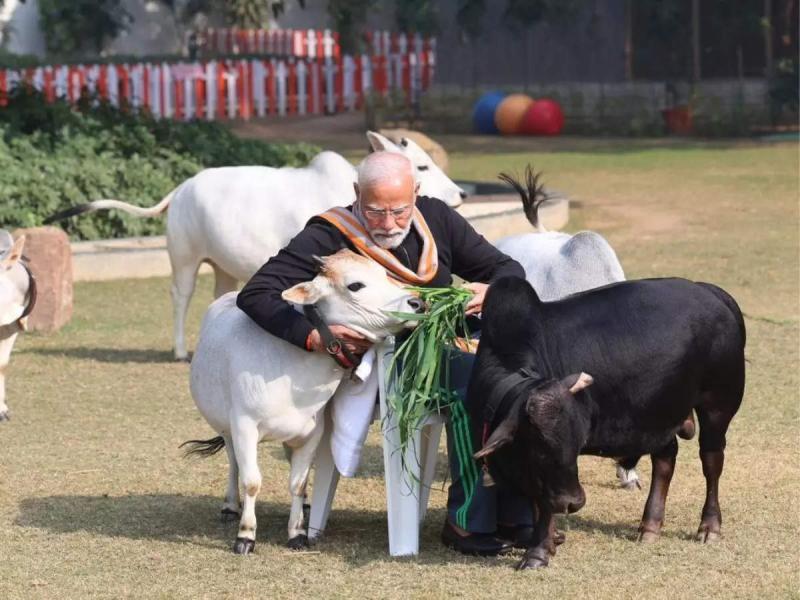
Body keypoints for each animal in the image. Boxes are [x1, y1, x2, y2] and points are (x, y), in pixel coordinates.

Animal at [43, 130, 466, 360]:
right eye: (421, 165)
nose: (461, 193)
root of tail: (181, 189)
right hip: (184, 258)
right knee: (180, 296)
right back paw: (180, 350)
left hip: (222, 268)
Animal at [184, 250, 422, 552]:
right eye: (355, 285)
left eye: (384, 274)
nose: (416, 302)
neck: (291, 372)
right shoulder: (244, 427)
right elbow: (251, 482)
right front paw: (246, 536)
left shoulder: (311, 433)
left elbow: (297, 483)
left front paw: (297, 532)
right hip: (226, 429)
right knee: (233, 462)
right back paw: (230, 506)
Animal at [468, 276, 744, 568]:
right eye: (540, 447)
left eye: (576, 445)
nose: (575, 502)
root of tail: (708, 290)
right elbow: (537, 499)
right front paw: (549, 541)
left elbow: (545, 504)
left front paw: (538, 552)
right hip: (660, 414)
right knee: (665, 460)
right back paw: (650, 526)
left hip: (717, 408)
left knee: (711, 463)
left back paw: (709, 526)